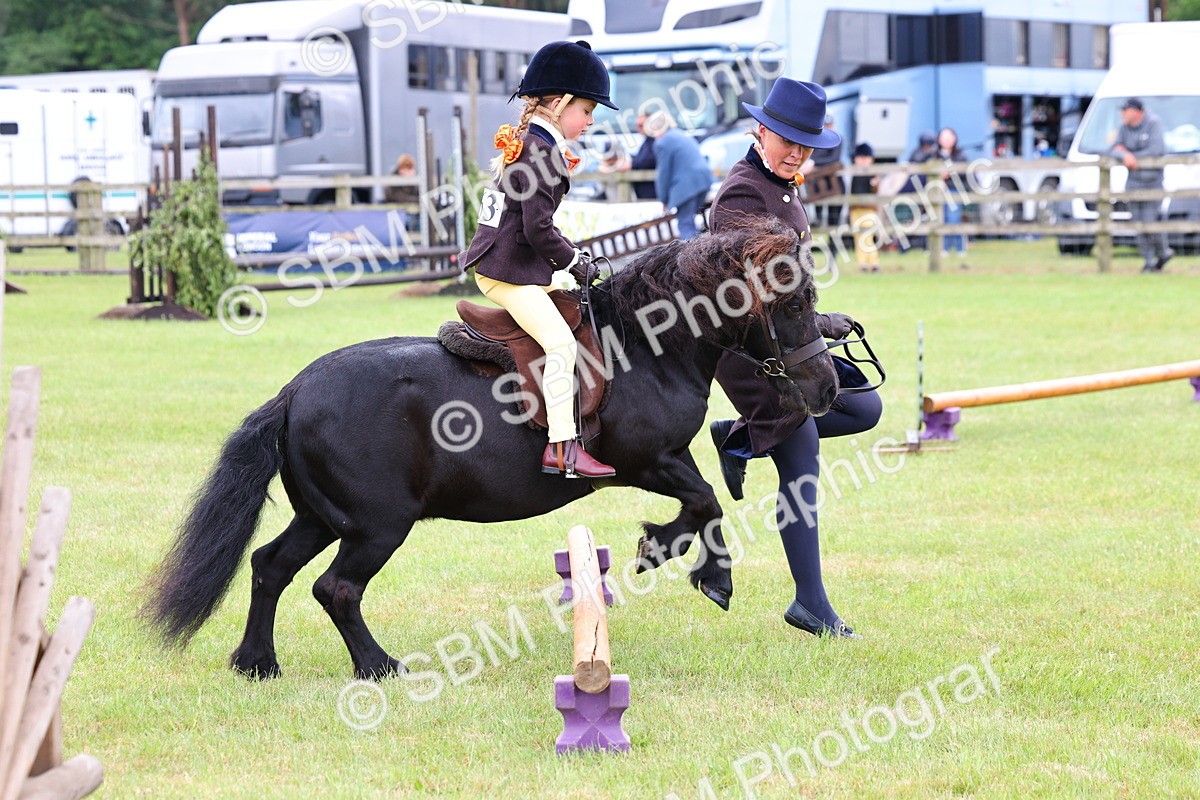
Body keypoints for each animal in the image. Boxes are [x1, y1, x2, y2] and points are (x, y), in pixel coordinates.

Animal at [143, 218, 840, 679]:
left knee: (270, 566)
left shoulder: (669, 458)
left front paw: (693, 565)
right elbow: (703, 504)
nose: (828, 389)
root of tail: (293, 392)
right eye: (793, 302)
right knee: (336, 589)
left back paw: (257, 662)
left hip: (321, 517)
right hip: (376, 525)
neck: (646, 345)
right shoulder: (647, 462)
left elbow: (707, 504)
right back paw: (379, 666)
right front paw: (678, 560)